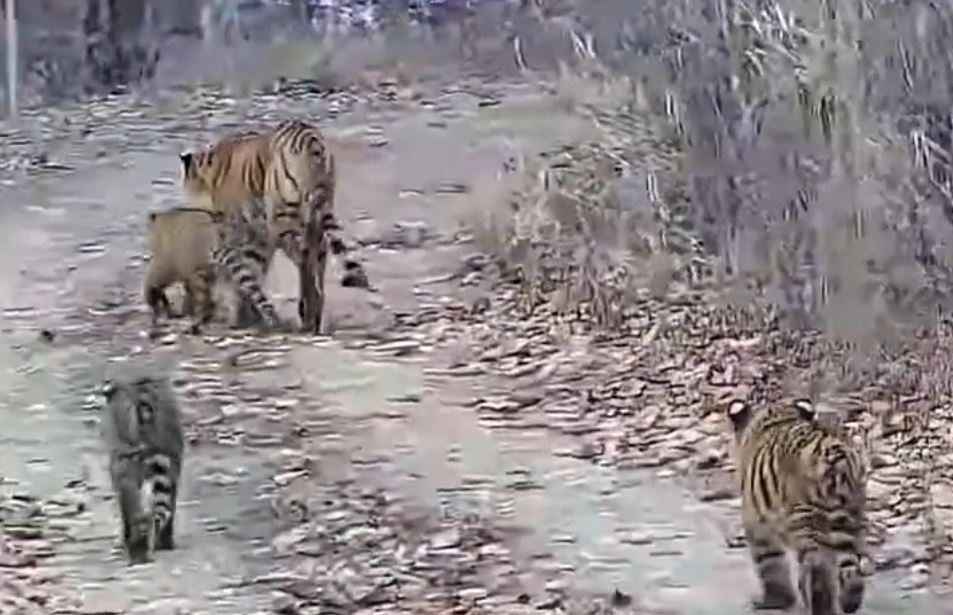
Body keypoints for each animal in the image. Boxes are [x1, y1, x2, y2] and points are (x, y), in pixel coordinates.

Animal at [178, 118, 372, 335]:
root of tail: (309, 138)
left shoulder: (240, 233)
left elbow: (245, 273)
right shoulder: (260, 238)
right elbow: (252, 272)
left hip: (284, 220)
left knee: (304, 260)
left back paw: (306, 315)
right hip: (317, 216)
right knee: (318, 257)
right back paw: (314, 317)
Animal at [727, 398, 867, 615]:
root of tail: (836, 457)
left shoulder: (757, 524)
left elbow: (770, 563)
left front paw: (776, 600)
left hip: (805, 520)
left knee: (816, 568)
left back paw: (820, 606)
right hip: (851, 514)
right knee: (850, 565)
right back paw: (849, 601)